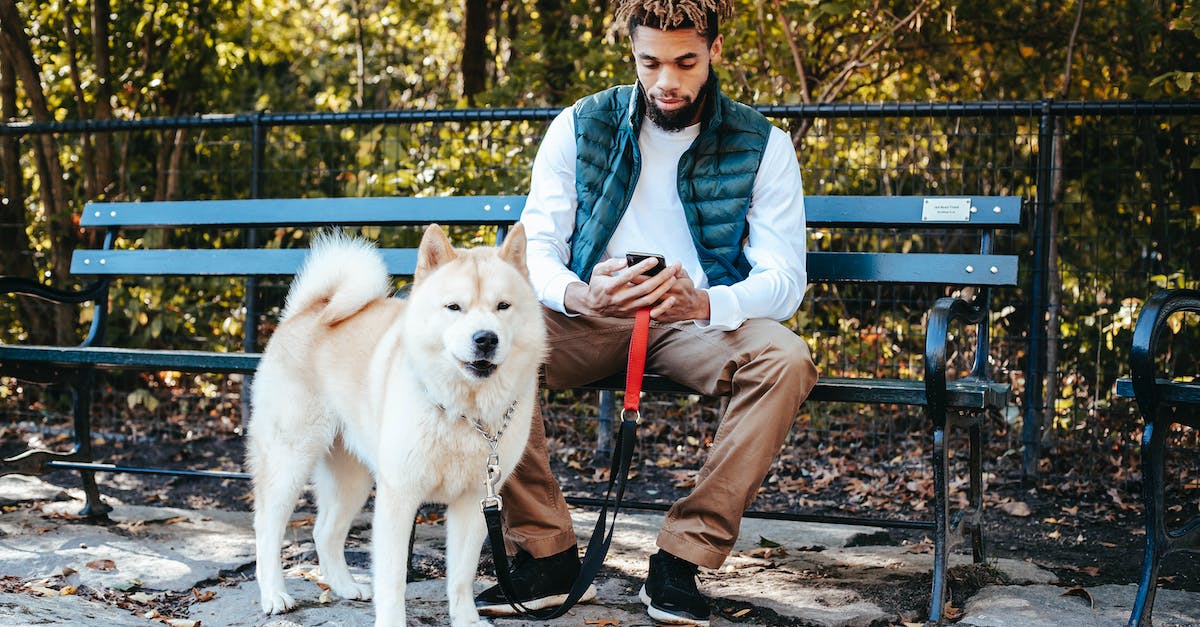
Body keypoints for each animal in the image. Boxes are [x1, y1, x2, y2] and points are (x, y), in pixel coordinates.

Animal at [248, 224, 549, 624]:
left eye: (503, 306)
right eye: (454, 307)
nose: (486, 338)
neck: (463, 412)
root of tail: (310, 309)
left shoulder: (475, 501)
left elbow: (461, 577)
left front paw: (467, 619)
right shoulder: (399, 497)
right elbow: (392, 581)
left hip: (354, 479)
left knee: (325, 531)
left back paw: (345, 586)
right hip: (290, 460)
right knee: (268, 528)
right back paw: (274, 595)